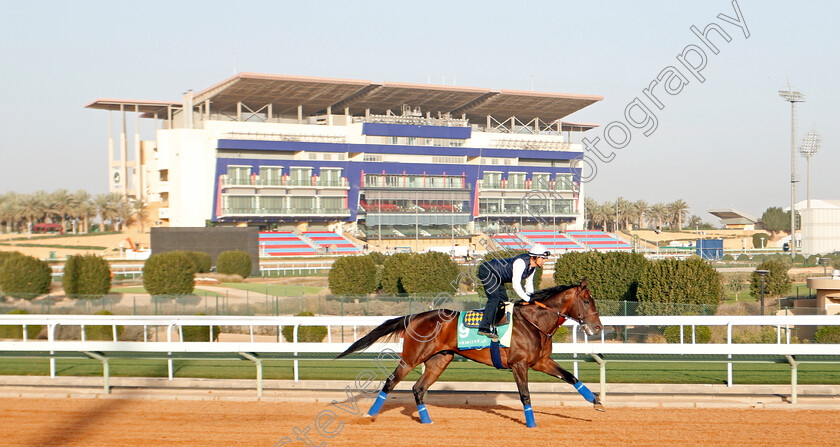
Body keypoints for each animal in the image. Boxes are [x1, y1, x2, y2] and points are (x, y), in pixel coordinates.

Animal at [336, 278, 604, 428]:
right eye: (587, 301)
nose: (598, 327)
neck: (534, 322)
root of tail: (414, 317)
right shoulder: (519, 365)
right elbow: (525, 395)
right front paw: (531, 425)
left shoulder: (541, 361)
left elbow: (571, 377)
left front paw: (597, 402)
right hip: (412, 358)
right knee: (391, 382)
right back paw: (369, 415)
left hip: (439, 361)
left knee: (418, 389)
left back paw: (427, 421)